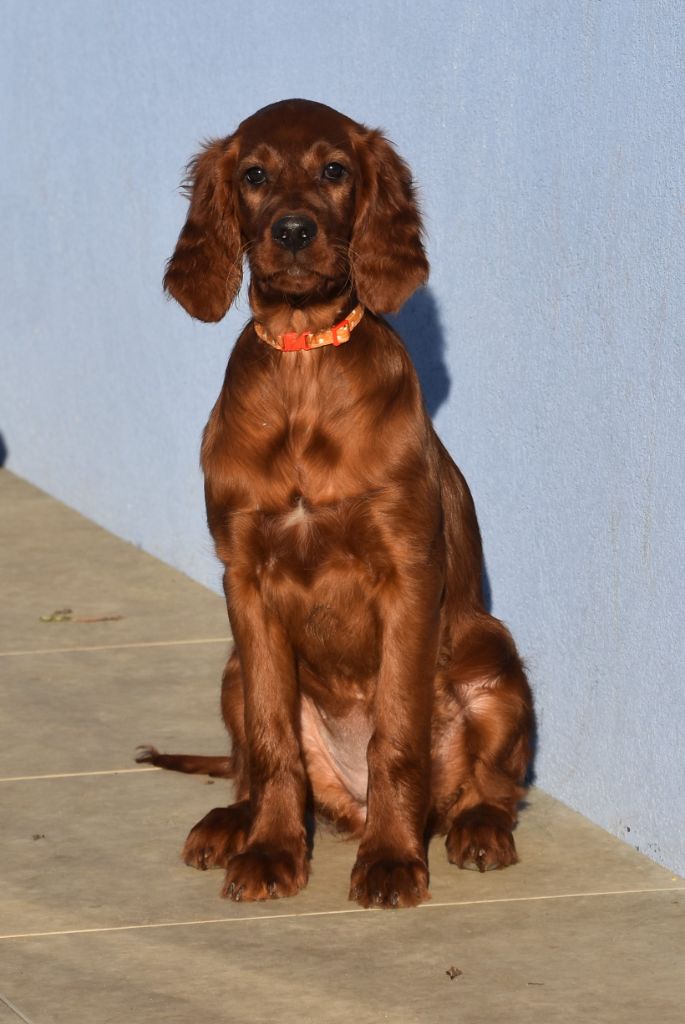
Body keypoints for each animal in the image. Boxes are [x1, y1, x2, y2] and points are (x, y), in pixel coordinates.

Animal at [137, 99, 532, 909]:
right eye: (254, 175)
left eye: (334, 170)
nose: (292, 231)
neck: (303, 363)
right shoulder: (244, 576)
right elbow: (271, 740)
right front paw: (271, 853)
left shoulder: (407, 571)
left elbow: (396, 737)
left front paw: (390, 862)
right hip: (232, 668)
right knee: (250, 765)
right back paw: (234, 823)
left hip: (496, 662)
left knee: (493, 784)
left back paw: (476, 830)